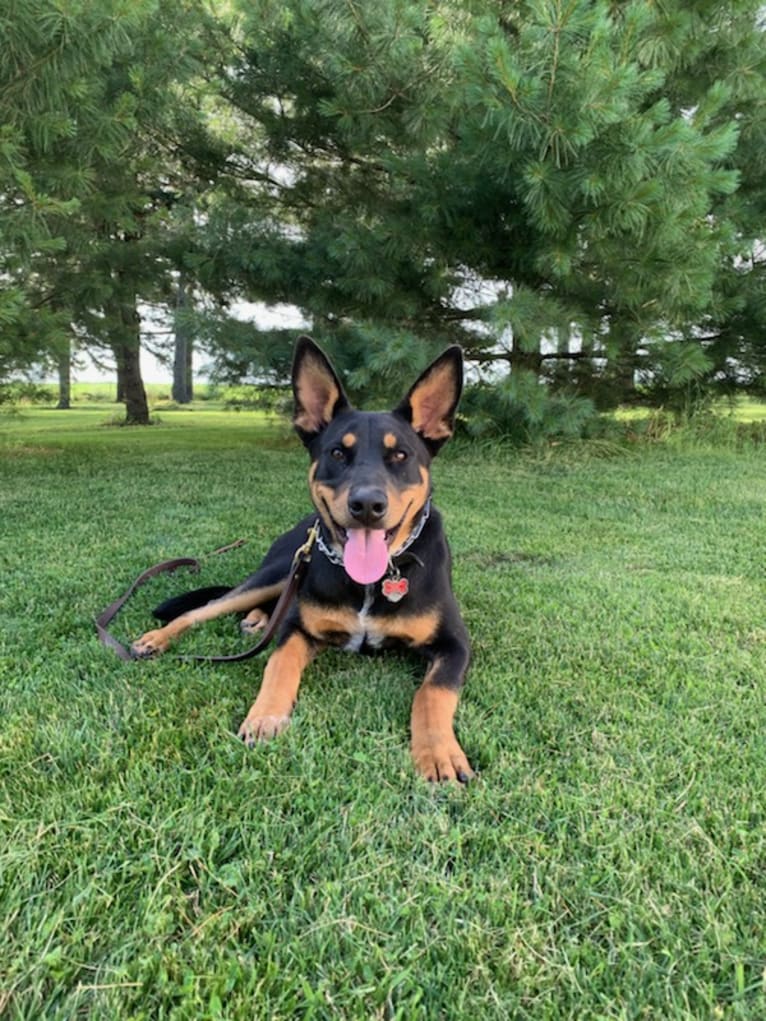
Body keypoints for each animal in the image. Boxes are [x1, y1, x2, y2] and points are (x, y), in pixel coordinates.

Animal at [134, 334, 477, 780]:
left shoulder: (455, 644)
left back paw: (256, 619)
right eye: (337, 453)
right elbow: (279, 663)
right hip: (279, 571)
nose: (367, 505)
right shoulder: (299, 629)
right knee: (204, 609)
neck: (371, 582)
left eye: (401, 456)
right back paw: (161, 637)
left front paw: (437, 751)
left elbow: (432, 692)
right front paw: (264, 716)